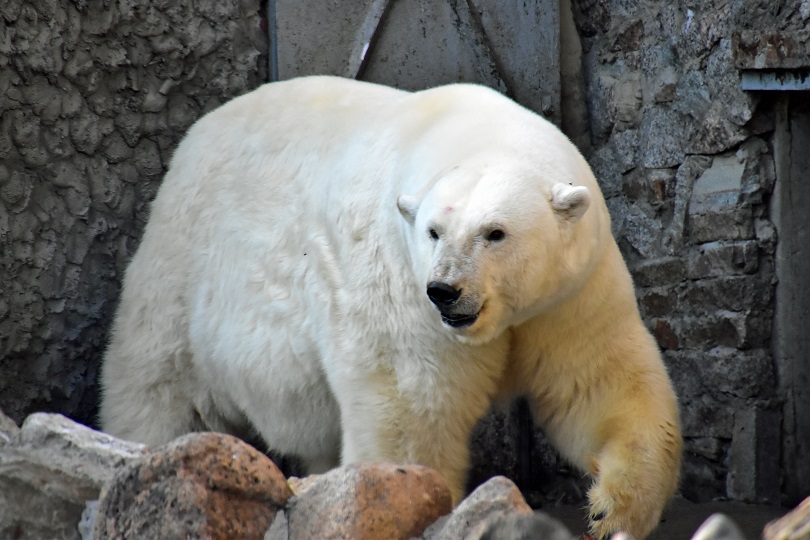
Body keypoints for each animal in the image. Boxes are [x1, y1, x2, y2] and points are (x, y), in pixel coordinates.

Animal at [102, 76, 680, 540]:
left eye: (495, 232)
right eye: (433, 231)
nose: (445, 290)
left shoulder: (568, 294)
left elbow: (596, 384)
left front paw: (612, 509)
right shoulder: (397, 279)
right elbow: (412, 404)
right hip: (183, 266)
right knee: (157, 384)